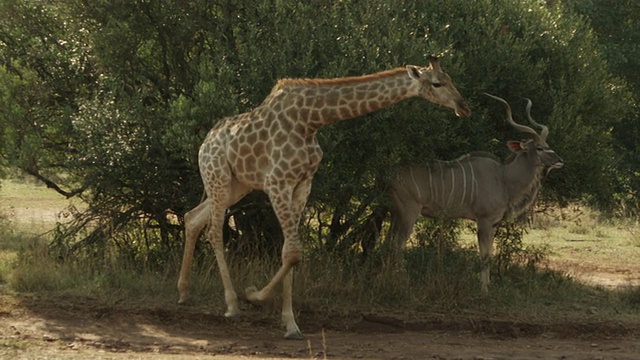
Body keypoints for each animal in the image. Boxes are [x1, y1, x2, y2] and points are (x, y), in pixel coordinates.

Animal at [178, 55, 468, 338]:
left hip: (238, 185)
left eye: (450, 78)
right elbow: (294, 252)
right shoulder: (277, 183)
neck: (311, 120)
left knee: (193, 217)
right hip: (218, 177)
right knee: (214, 230)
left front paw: (290, 323)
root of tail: (205, 143)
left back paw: (183, 293)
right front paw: (253, 296)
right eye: (437, 83)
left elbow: (288, 251)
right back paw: (231, 305)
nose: (463, 107)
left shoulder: (302, 185)